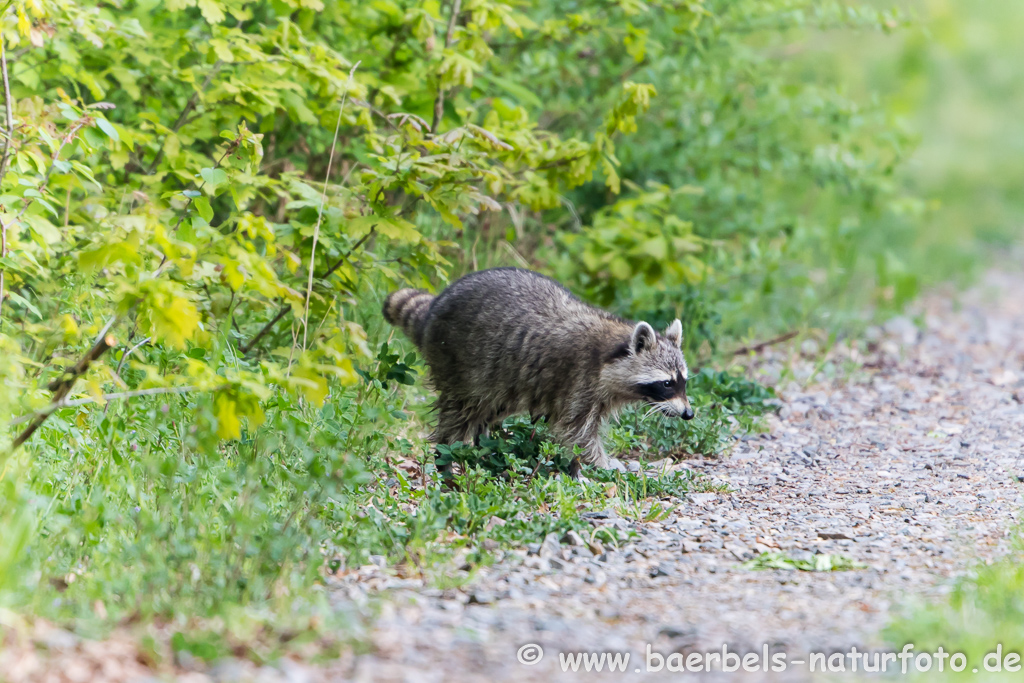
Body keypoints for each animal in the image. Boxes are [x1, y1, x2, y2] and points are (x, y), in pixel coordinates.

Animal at [385, 268, 696, 475]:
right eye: (667, 384)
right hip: (457, 360)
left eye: (683, 381)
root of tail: (434, 307)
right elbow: (579, 433)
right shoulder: (580, 378)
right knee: (459, 413)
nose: (688, 414)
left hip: (502, 380)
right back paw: (448, 457)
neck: (612, 344)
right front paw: (600, 465)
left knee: (488, 410)